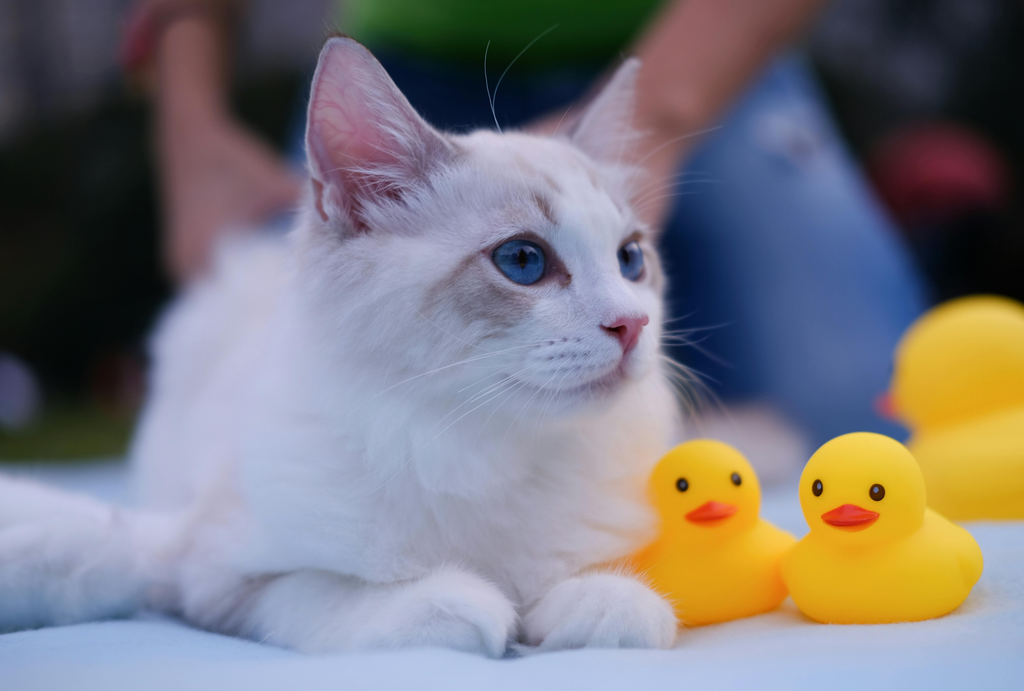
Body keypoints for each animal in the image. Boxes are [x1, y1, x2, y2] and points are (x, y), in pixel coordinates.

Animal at [2, 37, 688, 655]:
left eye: (630, 260)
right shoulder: (214, 579)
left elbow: (601, 597)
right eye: (523, 261)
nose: (632, 324)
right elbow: (338, 596)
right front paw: (472, 604)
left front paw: (604, 603)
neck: (482, 451)